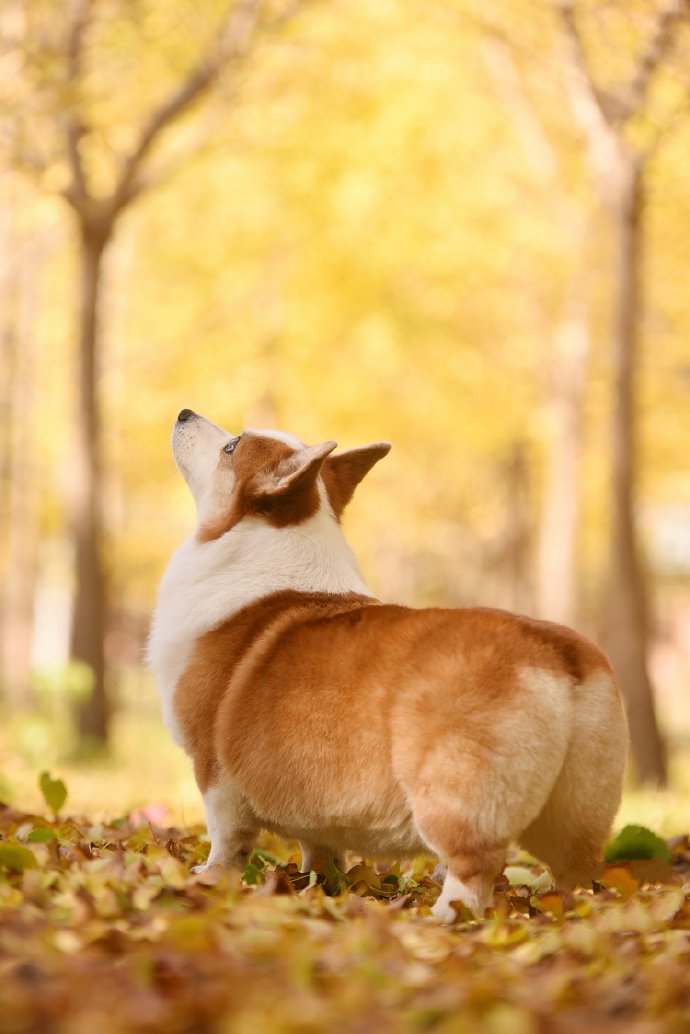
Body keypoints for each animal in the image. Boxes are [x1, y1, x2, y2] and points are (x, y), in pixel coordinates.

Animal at [148, 407, 628, 918]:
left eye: (232, 446)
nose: (184, 412)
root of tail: (558, 653)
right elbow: (320, 848)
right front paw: (317, 886)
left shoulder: (213, 770)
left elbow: (226, 840)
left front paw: (209, 879)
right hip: (578, 812)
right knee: (579, 875)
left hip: (455, 795)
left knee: (473, 870)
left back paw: (441, 919)